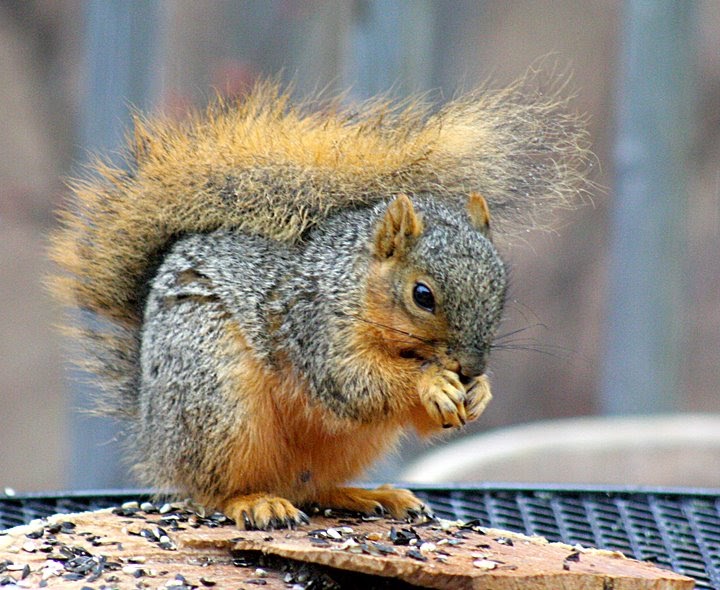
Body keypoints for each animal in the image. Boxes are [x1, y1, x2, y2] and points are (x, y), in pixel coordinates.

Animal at [50, 80, 590, 529]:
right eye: (423, 295)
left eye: (502, 287)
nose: (471, 368)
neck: (356, 286)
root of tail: (155, 435)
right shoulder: (312, 323)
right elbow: (352, 383)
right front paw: (431, 382)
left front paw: (480, 395)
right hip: (217, 400)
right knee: (216, 489)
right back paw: (254, 502)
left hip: (349, 444)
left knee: (312, 486)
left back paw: (368, 496)